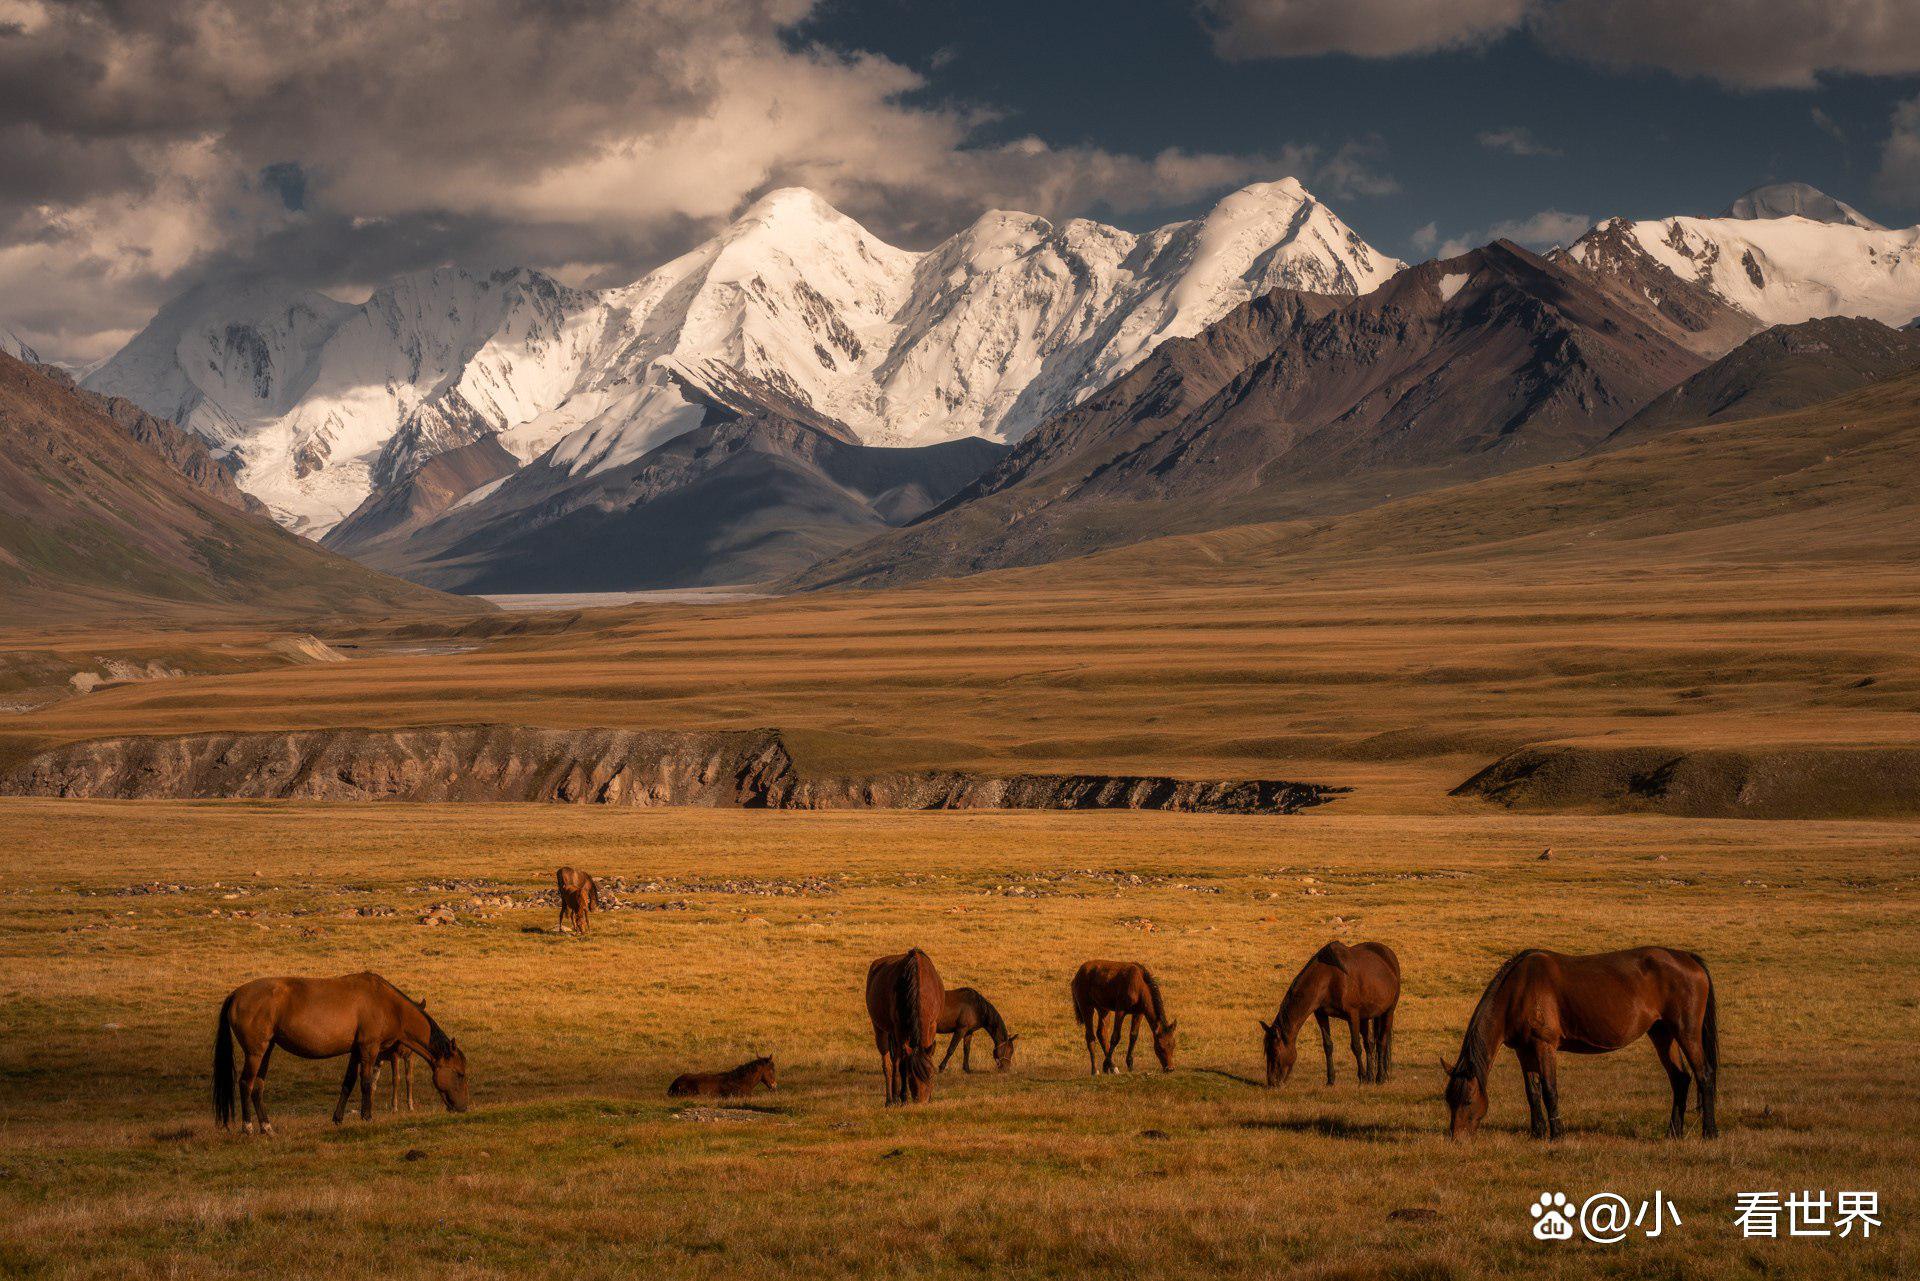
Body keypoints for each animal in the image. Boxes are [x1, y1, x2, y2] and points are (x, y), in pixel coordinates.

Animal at [212, 971, 470, 1129]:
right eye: (459, 1074)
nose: (463, 1108)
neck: (388, 1005)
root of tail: (236, 994)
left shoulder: (356, 1052)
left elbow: (348, 1083)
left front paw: (337, 1118)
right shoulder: (369, 1049)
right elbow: (366, 1083)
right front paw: (367, 1116)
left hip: (266, 1051)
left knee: (258, 1087)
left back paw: (266, 1127)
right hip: (255, 1052)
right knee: (245, 1083)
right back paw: (248, 1127)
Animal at [864, 952, 944, 1106]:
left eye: (931, 1075)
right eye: (911, 1076)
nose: (922, 1100)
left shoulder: (932, 1025)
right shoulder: (899, 1029)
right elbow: (902, 1065)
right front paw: (903, 1097)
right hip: (881, 1030)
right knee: (889, 1065)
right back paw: (891, 1099)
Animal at [1259, 937, 1397, 1090]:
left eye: (1275, 1052)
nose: (1272, 1082)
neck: (1329, 978)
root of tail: (1389, 955)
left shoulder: (1352, 1016)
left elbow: (1356, 1046)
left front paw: (1361, 1078)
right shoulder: (1321, 1015)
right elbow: (1328, 1046)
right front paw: (1331, 1080)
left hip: (1388, 1012)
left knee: (1381, 1042)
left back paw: (1380, 1078)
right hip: (1366, 1017)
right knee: (1370, 1044)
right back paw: (1371, 1077)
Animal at [1443, 941, 1728, 1144]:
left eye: (1467, 1100)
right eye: (1449, 1100)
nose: (1457, 1139)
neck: (1519, 990)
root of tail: (1687, 958)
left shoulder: (1544, 1046)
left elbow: (1549, 1090)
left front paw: (1557, 1134)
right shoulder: (1524, 1051)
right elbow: (1532, 1092)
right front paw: (1537, 1133)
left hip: (1686, 1032)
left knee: (1704, 1075)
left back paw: (1710, 1133)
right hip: (1662, 1033)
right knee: (1680, 1079)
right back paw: (1673, 1133)